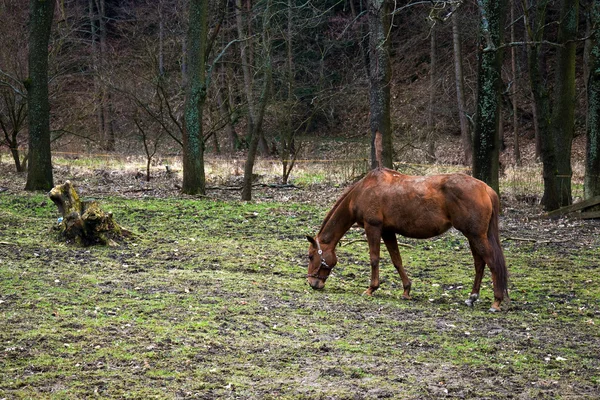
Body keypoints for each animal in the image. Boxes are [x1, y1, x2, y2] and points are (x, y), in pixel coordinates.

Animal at [308, 168, 508, 312]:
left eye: (310, 256)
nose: (312, 283)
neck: (364, 190)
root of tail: (486, 189)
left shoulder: (373, 227)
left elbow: (374, 259)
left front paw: (371, 288)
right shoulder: (388, 232)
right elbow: (397, 260)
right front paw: (406, 290)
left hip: (476, 235)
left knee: (491, 263)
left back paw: (496, 302)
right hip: (474, 236)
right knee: (479, 264)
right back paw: (472, 297)